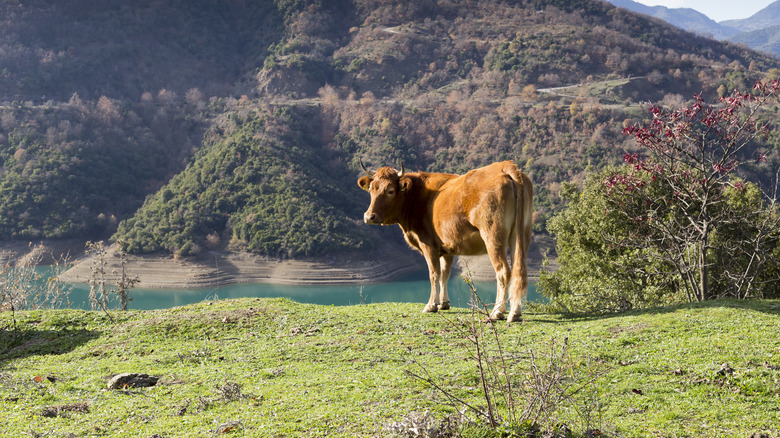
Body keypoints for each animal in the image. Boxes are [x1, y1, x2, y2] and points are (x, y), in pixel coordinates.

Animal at [358, 160, 533, 322]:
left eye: (390, 191)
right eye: (372, 189)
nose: (369, 216)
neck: (418, 197)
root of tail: (505, 166)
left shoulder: (428, 245)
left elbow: (434, 273)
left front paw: (431, 305)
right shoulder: (448, 247)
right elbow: (444, 274)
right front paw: (444, 303)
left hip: (493, 236)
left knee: (503, 271)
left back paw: (497, 312)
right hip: (521, 235)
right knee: (519, 271)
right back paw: (515, 312)